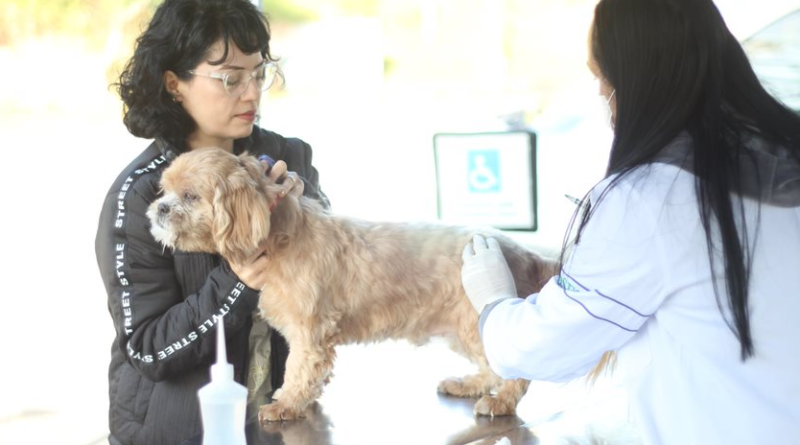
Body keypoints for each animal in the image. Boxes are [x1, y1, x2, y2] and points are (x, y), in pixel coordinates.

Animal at [150, 147, 560, 422]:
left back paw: (499, 402)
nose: (160, 209)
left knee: (516, 371)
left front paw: (286, 404)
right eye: (163, 191)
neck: (282, 238)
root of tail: (522, 251)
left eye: (190, 196)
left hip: (475, 322)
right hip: (466, 328)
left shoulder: (311, 331)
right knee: (493, 366)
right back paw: (468, 384)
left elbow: (300, 369)